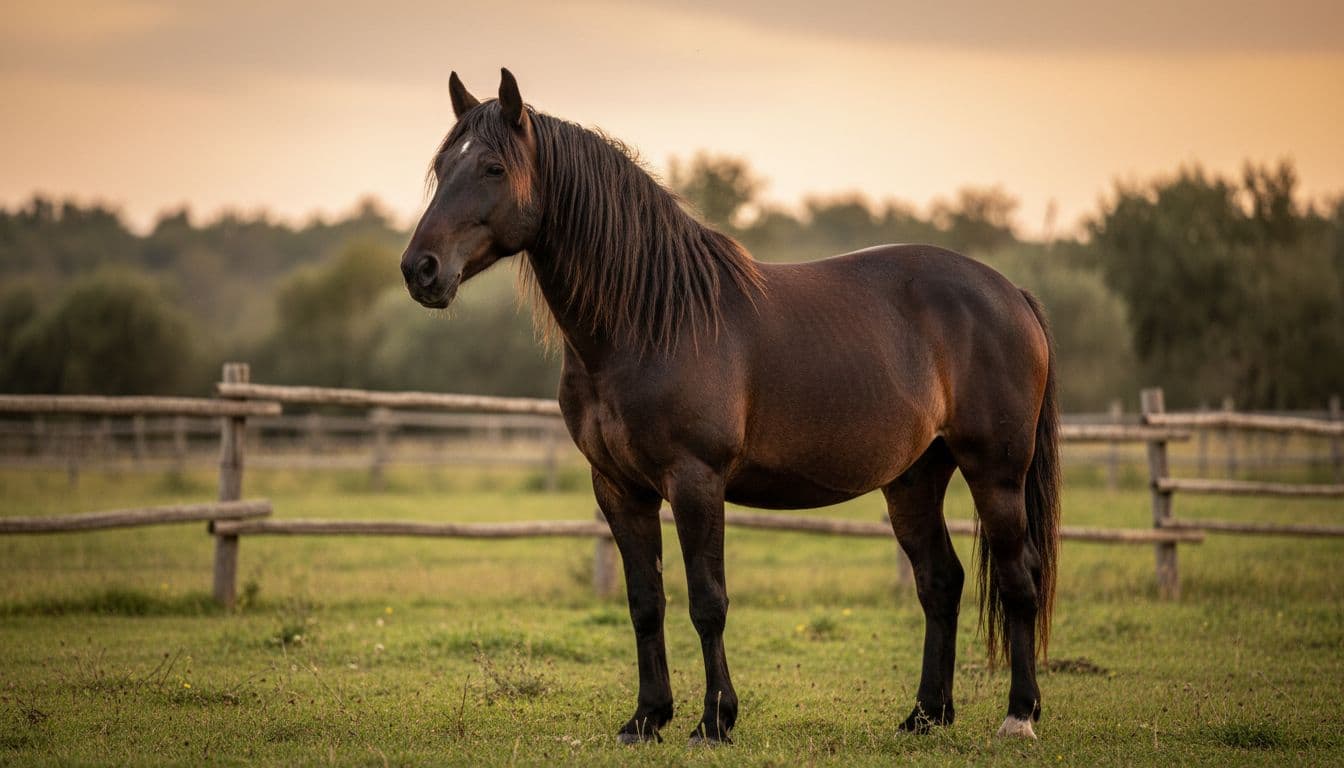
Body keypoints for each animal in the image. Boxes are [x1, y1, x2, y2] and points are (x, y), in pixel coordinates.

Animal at [401, 68, 1061, 745]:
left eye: (493, 168)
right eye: (441, 166)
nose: (420, 269)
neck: (650, 322)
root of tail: (1011, 294)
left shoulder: (696, 480)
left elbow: (707, 600)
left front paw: (715, 720)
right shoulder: (618, 487)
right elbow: (645, 602)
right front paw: (646, 718)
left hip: (995, 473)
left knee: (1020, 578)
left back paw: (1019, 715)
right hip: (914, 478)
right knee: (941, 582)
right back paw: (925, 716)